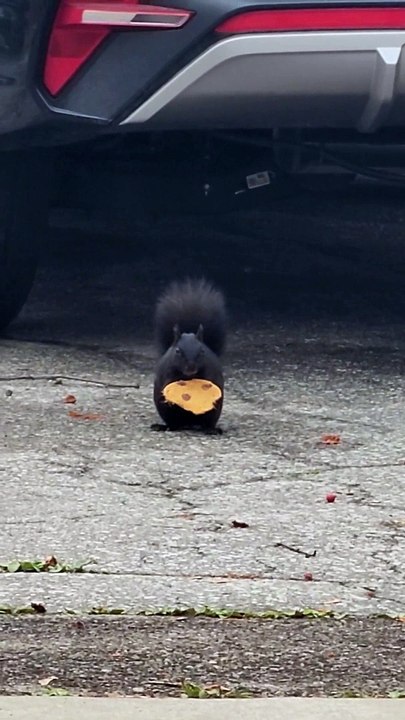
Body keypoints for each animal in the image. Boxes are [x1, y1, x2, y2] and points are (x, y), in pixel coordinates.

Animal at [153, 278, 226, 431]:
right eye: (177, 351)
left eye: (202, 351)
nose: (191, 367)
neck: (189, 377)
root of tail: (189, 423)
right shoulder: (167, 370)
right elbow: (168, 381)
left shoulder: (211, 369)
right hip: (166, 410)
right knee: (173, 423)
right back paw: (165, 427)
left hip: (214, 411)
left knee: (208, 423)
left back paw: (211, 430)